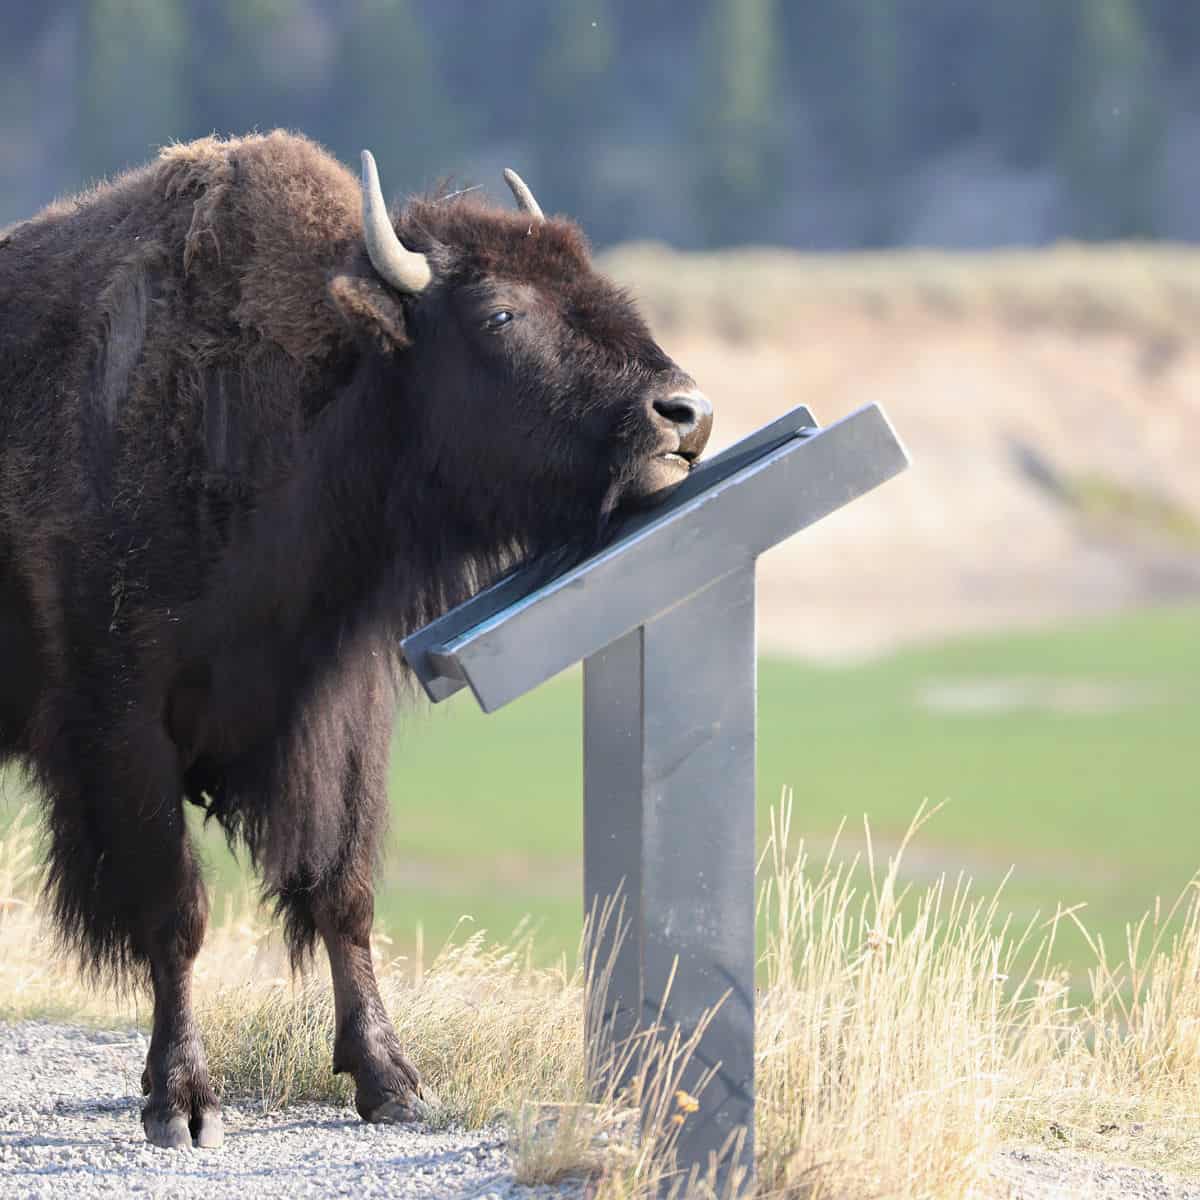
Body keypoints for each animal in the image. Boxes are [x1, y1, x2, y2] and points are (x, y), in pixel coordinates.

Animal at [0, 131, 711, 1148]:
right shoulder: (124, 726)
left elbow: (345, 896)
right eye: (499, 313)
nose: (683, 414)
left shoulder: (338, 716)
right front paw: (181, 1103)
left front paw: (393, 1082)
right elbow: (177, 912)